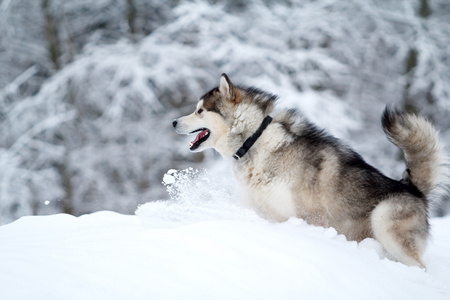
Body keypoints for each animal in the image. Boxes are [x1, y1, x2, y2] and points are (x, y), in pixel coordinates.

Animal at [173, 73, 446, 268]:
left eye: (200, 111)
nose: (173, 122)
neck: (255, 140)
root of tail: (413, 189)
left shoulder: (310, 215)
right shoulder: (266, 212)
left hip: (384, 219)